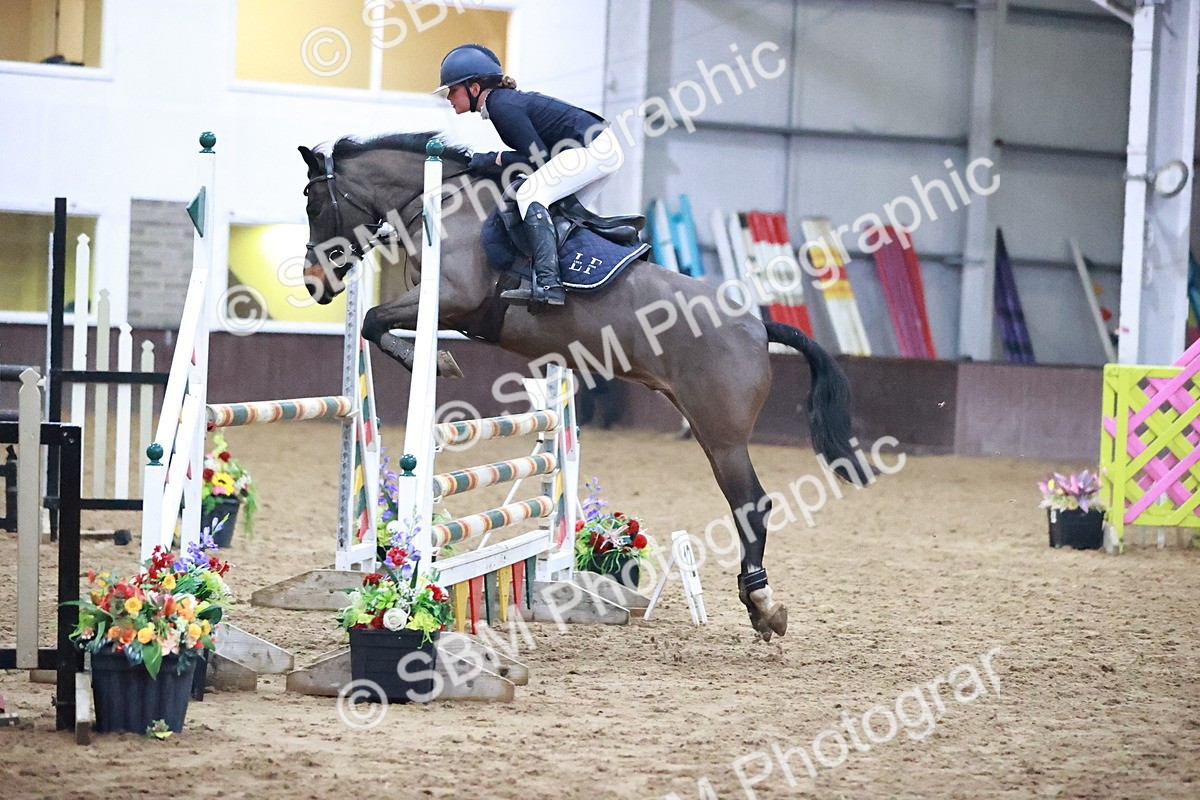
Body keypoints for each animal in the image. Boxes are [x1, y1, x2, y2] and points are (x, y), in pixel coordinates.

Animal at [297, 132, 864, 641]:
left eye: (312, 202)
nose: (312, 283)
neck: (442, 201)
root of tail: (757, 326)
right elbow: (373, 322)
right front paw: (432, 358)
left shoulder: (452, 298)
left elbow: (372, 319)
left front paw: (434, 361)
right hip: (705, 428)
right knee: (746, 503)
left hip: (723, 436)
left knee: (752, 505)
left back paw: (762, 604)